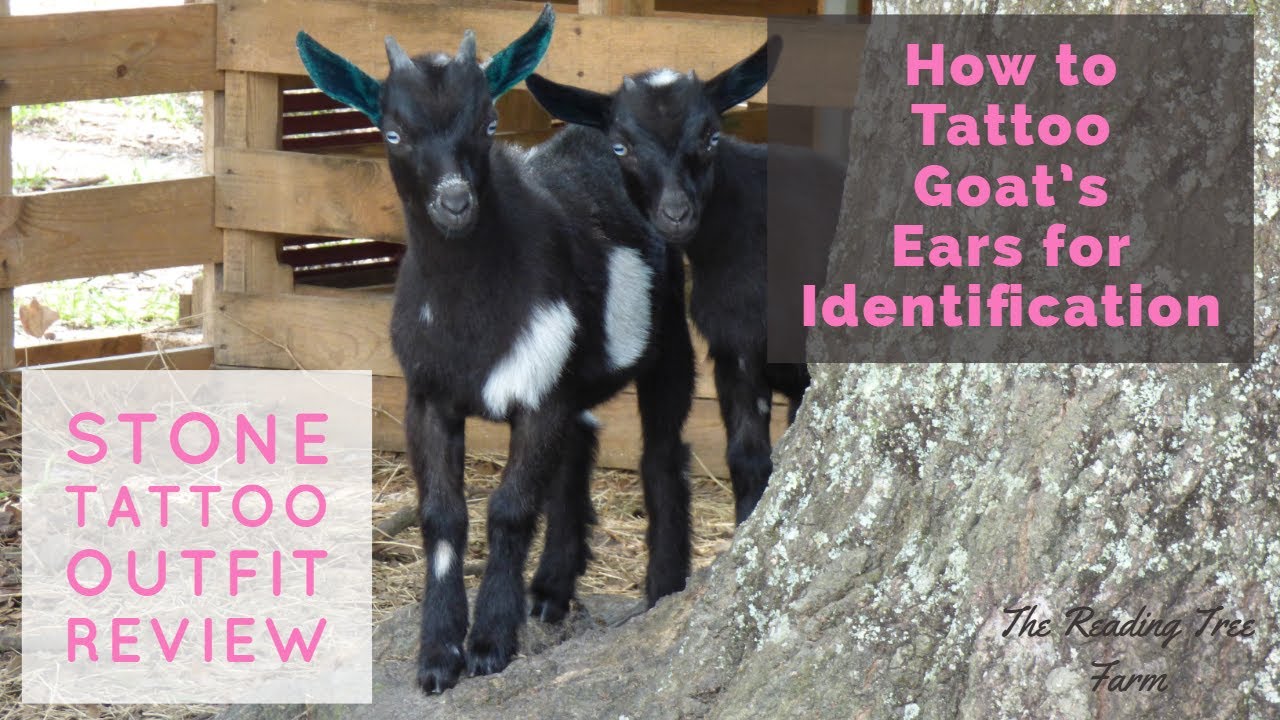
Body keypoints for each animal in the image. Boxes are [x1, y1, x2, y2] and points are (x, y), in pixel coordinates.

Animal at [297, 5, 694, 693]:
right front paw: (436, 655)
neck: (472, 321)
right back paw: (553, 590)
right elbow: (441, 515)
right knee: (581, 446)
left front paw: (487, 644)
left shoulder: (541, 394)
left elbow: (508, 509)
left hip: (667, 334)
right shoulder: (428, 397)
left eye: (488, 122)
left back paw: (662, 589)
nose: (455, 201)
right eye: (392, 132)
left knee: (662, 451)